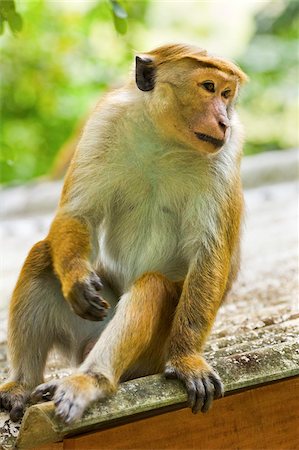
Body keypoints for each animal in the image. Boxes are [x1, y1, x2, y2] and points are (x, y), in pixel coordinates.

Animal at [0, 44, 248, 424]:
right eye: (208, 87)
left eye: (227, 94)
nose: (224, 121)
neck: (164, 139)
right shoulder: (104, 123)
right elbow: (78, 213)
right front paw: (76, 280)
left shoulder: (224, 157)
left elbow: (209, 254)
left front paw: (187, 360)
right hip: (92, 322)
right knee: (43, 253)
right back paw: (22, 385)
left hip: (150, 354)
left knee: (153, 288)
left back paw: (88, 382)